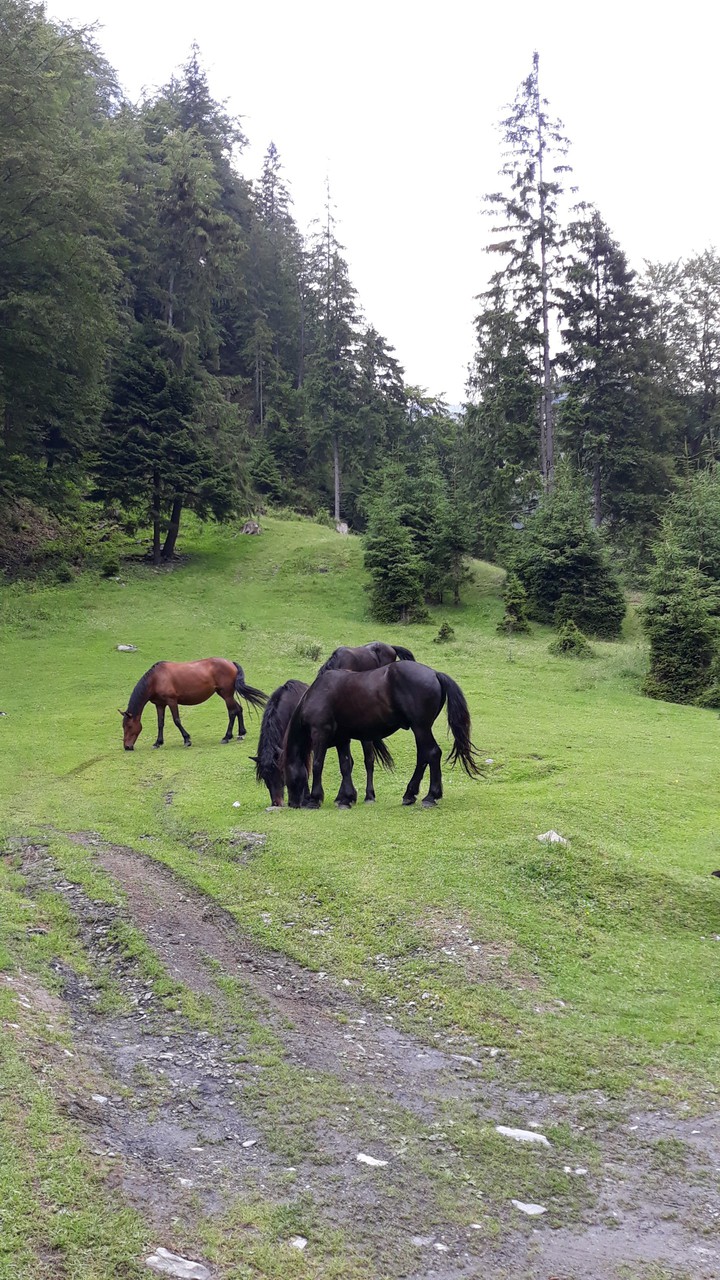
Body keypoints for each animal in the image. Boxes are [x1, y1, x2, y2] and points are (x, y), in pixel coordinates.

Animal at [119, 659, 267, 750]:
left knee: (232, 712)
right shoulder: (160, 704)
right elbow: (160, 723)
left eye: (129, 726)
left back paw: (227, 737)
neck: (156, 679)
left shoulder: (172, 701)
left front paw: (187, 740)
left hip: (226, 695)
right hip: (225, 694)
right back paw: (241, 733)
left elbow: (177, 720)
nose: (127, 747)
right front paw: (158, 742)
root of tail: (231, 663)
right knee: (239, 709)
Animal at [252, 678, 394, 807]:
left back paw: (369, 796)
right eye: (265, 777)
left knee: (368, 761)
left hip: (365, 738)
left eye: (281, 774)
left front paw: (307, 798)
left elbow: (307, 769)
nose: (277, 803)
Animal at [283, 662, 481, 809]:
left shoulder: (320, 734)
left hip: (421, 728)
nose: (292, 803)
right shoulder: (342, 739)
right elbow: (345, 765)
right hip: (420, 729)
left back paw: (430, 796)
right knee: (424, 757)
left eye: (287, 778)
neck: (316, 694)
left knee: (432, 753)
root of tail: (434, 674)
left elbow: (318, 764)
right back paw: (411, 794)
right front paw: (346, 798)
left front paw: (315, 799)